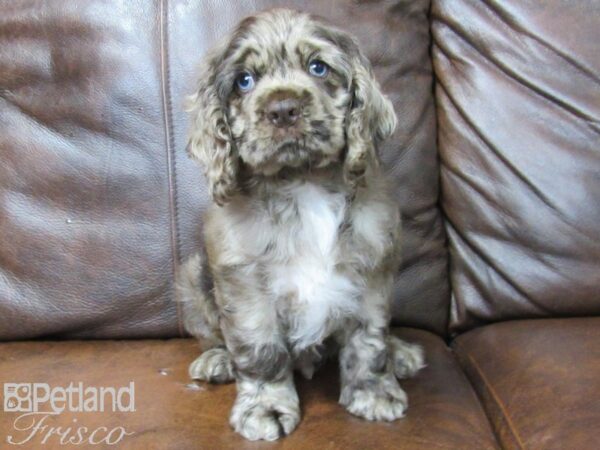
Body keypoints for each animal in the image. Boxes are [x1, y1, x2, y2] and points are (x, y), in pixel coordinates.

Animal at [180, 8, 424, 442]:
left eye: (318, 67)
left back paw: (401, 352)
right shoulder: (245, 285)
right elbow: (259, 350)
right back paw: (217, 360)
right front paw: (266, 407)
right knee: (216, 336)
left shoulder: (372, 269)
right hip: (193, 279)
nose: (283, 109)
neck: (302, 181)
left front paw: (373, 391)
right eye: (244, 80)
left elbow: (369, 339)